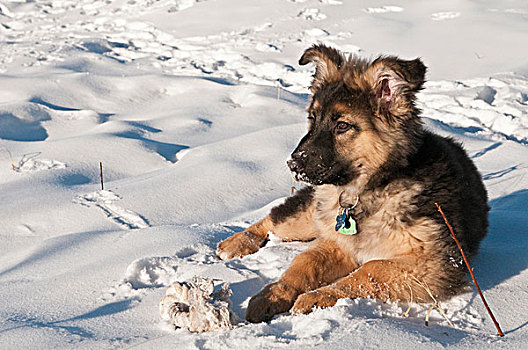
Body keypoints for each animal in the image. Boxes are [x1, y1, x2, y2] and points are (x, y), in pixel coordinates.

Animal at [217, 45, 488, 324]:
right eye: (312, 118)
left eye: (342, 126)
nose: (293, 164)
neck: (373, 187)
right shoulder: (336, 241)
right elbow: (305, 261)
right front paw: (273, 294)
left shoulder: (434, 264)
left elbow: (370, 269)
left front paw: (319, 296)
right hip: (312, 214)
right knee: (276, 218)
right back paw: (237, 243)